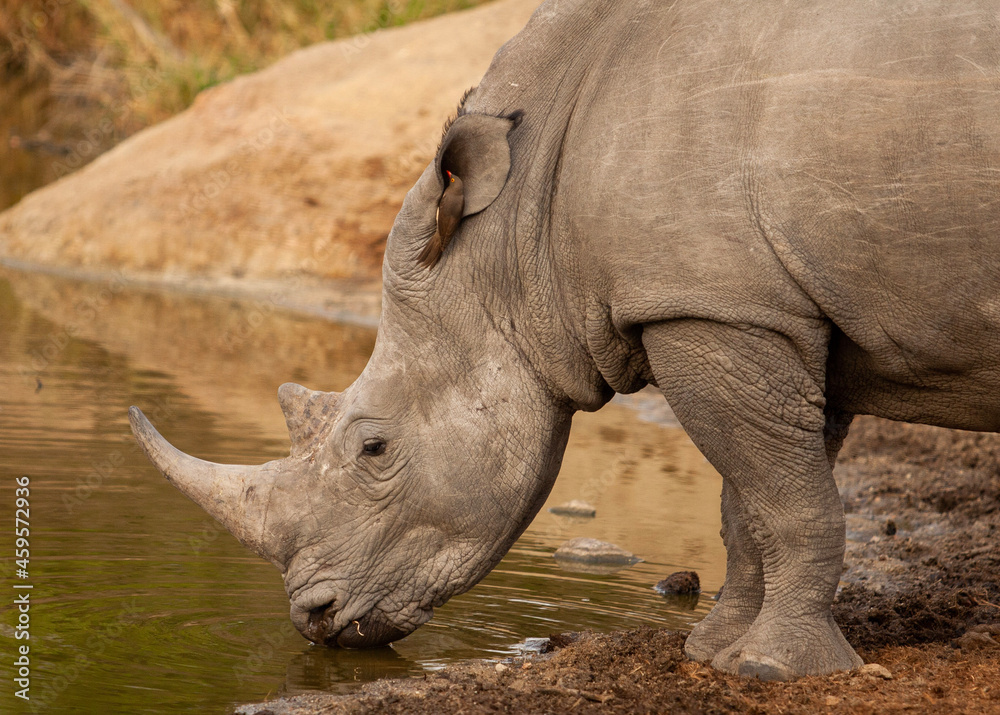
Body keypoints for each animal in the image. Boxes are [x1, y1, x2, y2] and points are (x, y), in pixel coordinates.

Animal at [130, 0, 1000, 681]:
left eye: (373, 448)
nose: (313, 616)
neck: (516, 228)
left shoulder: (711, 306)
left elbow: (785, 498)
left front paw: (772, 668)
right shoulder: (761, 307)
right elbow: (755, 496)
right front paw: (713, 651)